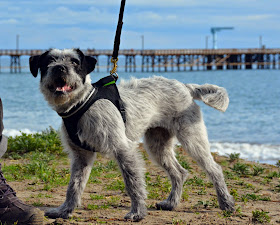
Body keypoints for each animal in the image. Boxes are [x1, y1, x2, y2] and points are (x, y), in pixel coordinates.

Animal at [29, 48, 234, 221]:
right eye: (49, 61)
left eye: (74, 62)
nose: (60, 68)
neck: (81, 103)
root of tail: (185, 86)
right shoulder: (81, 156)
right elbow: (74, 186)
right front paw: (65, 210)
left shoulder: (123, 149)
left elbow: (133, 184)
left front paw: (137, 212)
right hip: (157, 145)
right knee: (179, 172)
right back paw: (171, 203)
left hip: (192, 139)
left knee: (214, 169)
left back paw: (226, 203)